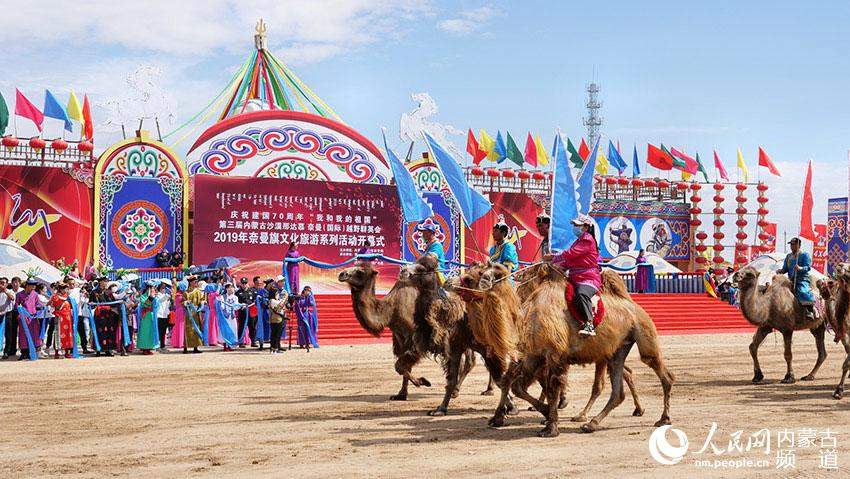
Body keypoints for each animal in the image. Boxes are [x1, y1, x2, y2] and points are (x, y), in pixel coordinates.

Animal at [340, 262, 476, 402]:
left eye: (360, 271)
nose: (342, 274)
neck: (391, 310)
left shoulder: (416, 338)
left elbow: (400, 366)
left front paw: (422, 381)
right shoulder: (400, 338)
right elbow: (403, 366)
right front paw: (401, 394)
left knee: (469, 361)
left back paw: (456, 390)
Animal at [460, 262, 672, 438]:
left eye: (480, 274)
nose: (459, 285)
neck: (526, 318)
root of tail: (635, 305)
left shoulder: (554, 355)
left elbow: (551, 387)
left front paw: (550, 426)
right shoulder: (533, 355)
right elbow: (516, 385)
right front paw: (539, 413)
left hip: (643, 332)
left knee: (659, 370)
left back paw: (662, 418)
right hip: (617, 349)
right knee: (618, 388)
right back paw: (593, 423)